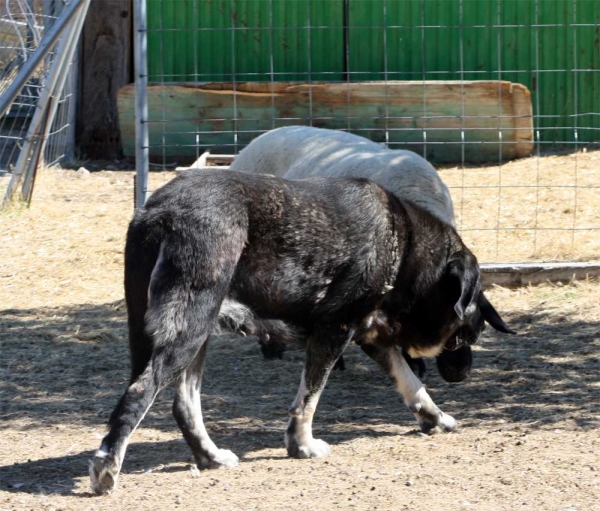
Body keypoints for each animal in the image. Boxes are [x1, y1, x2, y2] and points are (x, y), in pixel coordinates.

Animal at [90, 172, 516, 496]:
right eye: (469, 331)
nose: (464, 371)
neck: (408, 247)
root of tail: (156, 213)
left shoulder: (371, 336)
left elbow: (411, 383)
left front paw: (434, 416)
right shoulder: (334, 332)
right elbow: (309, 400)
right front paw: (302, 445)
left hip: (193, 332)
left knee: (184, 404)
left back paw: (210, 457)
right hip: (190, 327)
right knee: (140, 391)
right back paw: (107, 468)